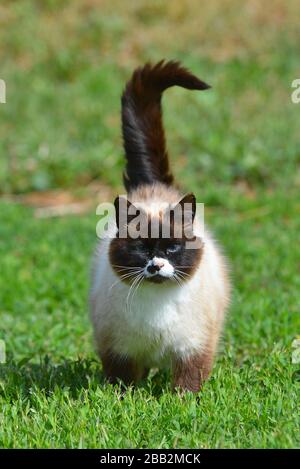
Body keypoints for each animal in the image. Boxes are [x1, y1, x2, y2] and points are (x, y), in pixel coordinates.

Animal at [89, 60, 230, 394]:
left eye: (172, 247)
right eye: (141, 248)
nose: (155, 266)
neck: (156, 305)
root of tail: (154, 188)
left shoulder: (193, 349)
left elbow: (186, 386)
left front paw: (180, 403)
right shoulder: (119, 351)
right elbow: (123, 384)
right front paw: (123, 400)